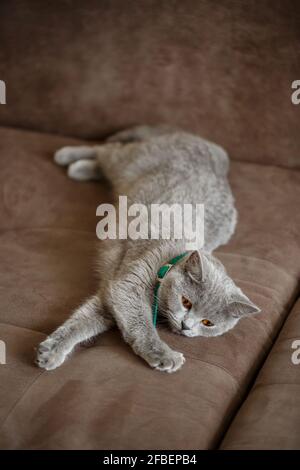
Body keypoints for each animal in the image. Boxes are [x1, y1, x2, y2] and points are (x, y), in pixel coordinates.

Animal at [36, 126, 258, 374]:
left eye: (208, 323)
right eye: (186, 302)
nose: (186, 326)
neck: (168, 262)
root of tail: (214, 151)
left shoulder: (111, 293)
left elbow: (84, 320)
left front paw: (51, 351)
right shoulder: (128, 285)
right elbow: (141, 325)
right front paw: (164, 355)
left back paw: (81, 167)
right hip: (133, 159)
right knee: (108, 150)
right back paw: (69, 158)